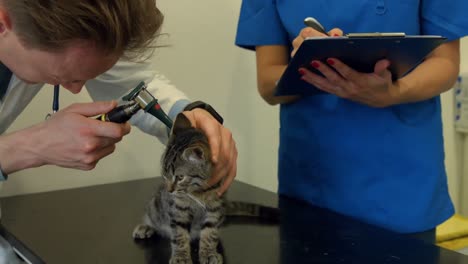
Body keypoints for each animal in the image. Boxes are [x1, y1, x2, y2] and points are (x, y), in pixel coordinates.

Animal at [133, 113, 225, 264]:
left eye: (180, 177)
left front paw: (209, 252)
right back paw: (146, 226)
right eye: (165, 173)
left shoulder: (215, 206)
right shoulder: (177, 208)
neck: (198, 190)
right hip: (155, 205)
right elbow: (179, 234)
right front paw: (181, 256)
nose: (170, 190)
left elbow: (210, 231)